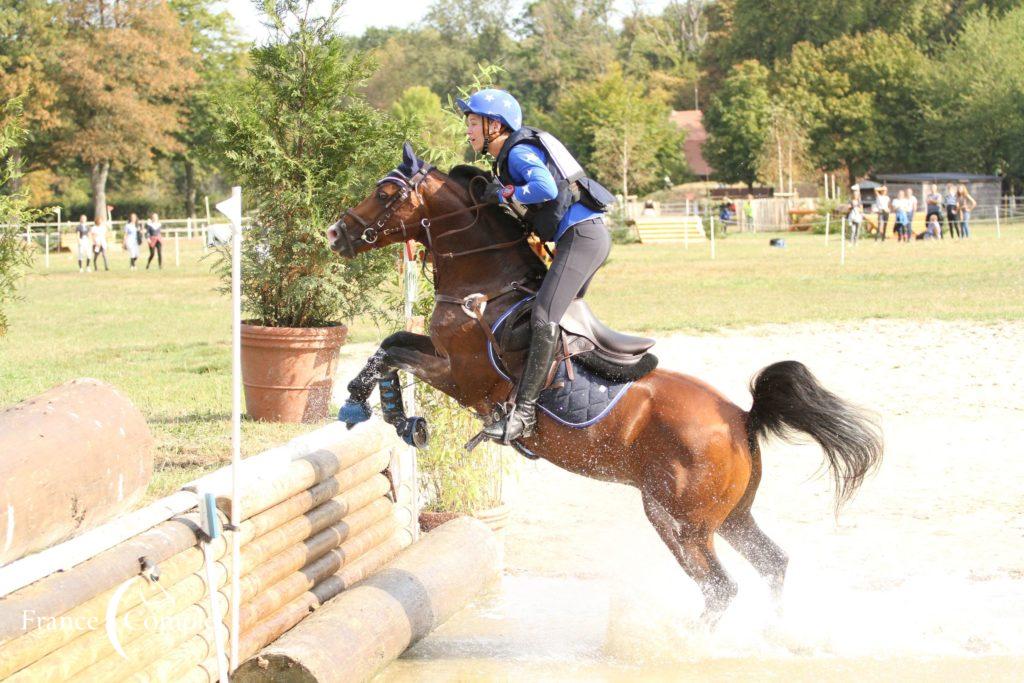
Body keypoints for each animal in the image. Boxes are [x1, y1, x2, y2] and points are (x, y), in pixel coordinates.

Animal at [325, 144, 880, 626]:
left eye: (385, 192)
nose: (335, 233)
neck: (486, 285)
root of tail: (742, 418)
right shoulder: (439, 356)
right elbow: (393, 341)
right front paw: (394, 415)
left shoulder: (458, 374)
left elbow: (390, 352)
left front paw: (372, 409)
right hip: (732, 517)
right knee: (773, 564)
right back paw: (775, 632)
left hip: (678, 520)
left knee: (721, 587)